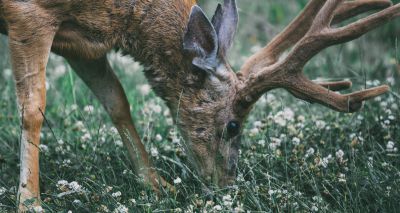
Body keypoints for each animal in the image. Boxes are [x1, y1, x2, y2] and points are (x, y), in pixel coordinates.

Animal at [0, 0, 398, 211]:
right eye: (233, 125)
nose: (226, 185)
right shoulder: (28, 14)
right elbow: (33, 110)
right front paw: (30, 201)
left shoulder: (84, 41)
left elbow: (117, 102)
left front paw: (158, 186)